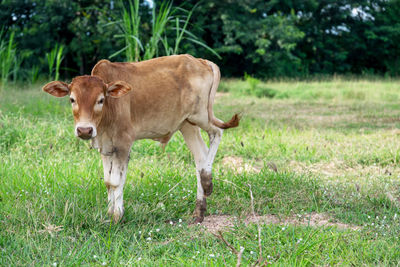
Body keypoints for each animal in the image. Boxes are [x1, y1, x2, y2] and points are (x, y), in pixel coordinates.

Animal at [42, 54, 239, 224]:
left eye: (100, 100)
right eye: (72, 99)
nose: (84, 130)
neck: (107, 116)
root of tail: (200, 60)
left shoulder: (124, 143)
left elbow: (116, 181)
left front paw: (117, 217)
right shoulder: (106, 147)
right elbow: (108, 181)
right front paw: (110, 213)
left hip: (201, 115)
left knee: (217, 133)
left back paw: (207, 181)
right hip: (187, 124)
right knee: (200, 157)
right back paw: (199, 210)